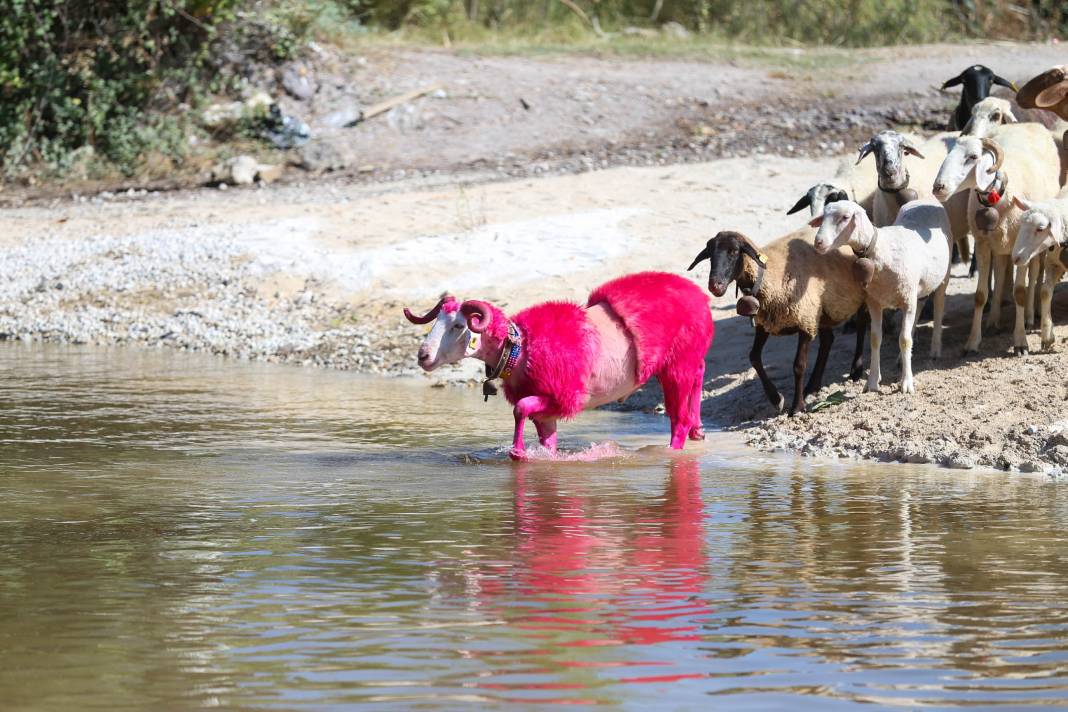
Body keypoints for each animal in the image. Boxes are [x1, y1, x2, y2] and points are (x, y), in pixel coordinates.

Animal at [683, 228, 867, 418]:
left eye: (734, 251)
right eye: (710, 254)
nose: (715, 286)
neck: (768, 276)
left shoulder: (805, 320)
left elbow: (799, 366)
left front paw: (797, 407)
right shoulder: (765, 322)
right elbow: (754, 357)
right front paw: (776, 399)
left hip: (862, 293)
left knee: (862, 325)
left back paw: (856, 370)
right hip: (824, 309)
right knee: (827, 341)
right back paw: (812, 386)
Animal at [807, 199, 952, 394]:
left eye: (845, 217)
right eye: (823, 217)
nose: (818, 242)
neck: (880, 250)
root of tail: (925, 200)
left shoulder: (907, 300)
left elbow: (904, 340)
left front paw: (906, 383)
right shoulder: (875, 302)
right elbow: (876, 339)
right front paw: (873, 382)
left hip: (944, 276)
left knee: (938, 307)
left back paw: (935, 349)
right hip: (918, 287)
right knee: (919, 308)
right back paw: (902, 359)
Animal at [931, 125, 1063, 356]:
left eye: (973, 157)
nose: (938, 187)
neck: (998, 198)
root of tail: (1029, 124)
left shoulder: (1022, 246)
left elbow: (1019, 292)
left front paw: (1020, 342)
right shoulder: (982, 243)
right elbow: (980, 295)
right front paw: (972, 342)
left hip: (1034, 242)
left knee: (1035, 273)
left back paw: (1031, 316)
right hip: (1001, 243)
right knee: (1001, 272)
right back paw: (993, 320)